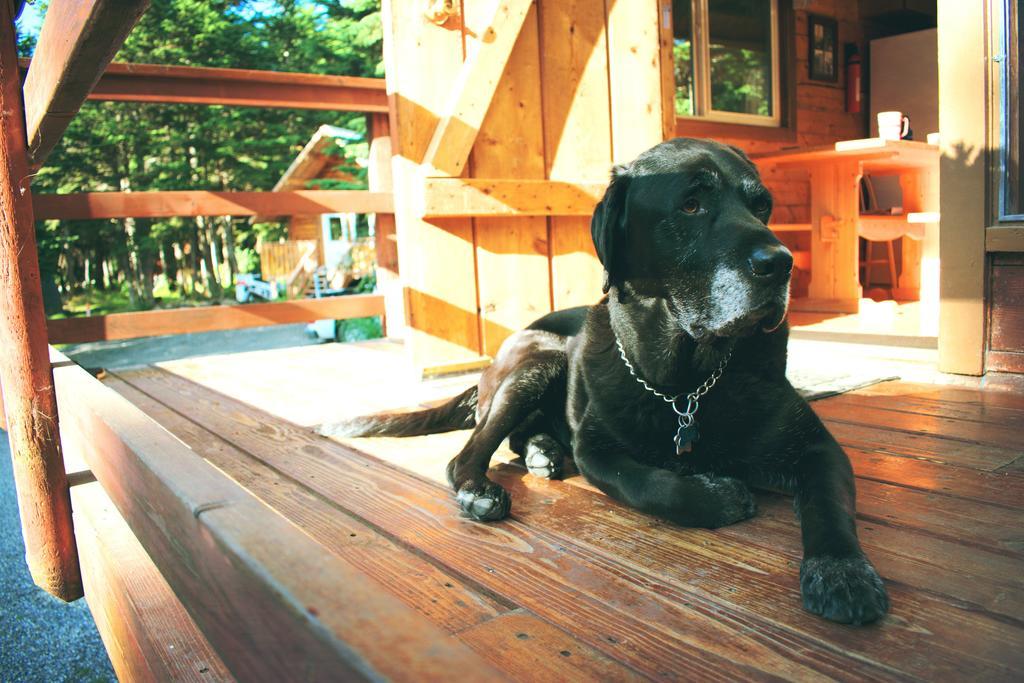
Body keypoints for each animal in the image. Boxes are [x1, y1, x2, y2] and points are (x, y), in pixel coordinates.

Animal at [323, 139, 892, 626]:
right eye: (691, 205)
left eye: (763, 206)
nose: (780, 262)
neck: (685, 383)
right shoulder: (598, 449)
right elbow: (653, 486)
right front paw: (718, 496)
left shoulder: (816, 447)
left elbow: (828, 507)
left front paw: (842, 573)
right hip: (540, 359)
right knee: (470, 451)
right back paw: (482, 489)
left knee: (515, 439)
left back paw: (542, 452)